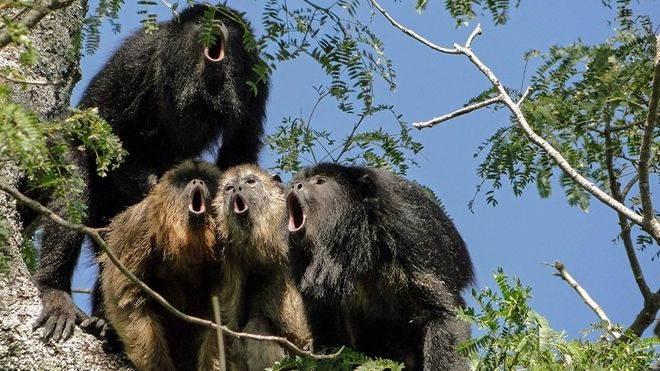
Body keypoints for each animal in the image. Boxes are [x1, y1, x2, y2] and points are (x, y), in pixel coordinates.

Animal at [27, 2, 266, 342]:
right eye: (202, 21)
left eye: (227, 24)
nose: (216, 25)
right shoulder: (139, 54)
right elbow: (103, 127)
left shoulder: (256, 79)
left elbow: (240, 150)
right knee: (76, 190)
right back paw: (54, 291)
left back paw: (105, 322)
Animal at [214, 166, 312, 371]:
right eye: (229, 188)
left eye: (250, 182)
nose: (237, 189)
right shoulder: (230, 257)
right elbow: (231, 323)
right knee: (257, 325)